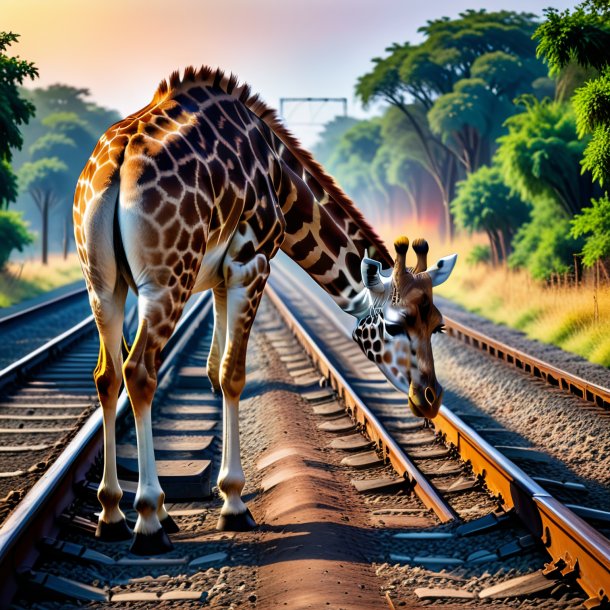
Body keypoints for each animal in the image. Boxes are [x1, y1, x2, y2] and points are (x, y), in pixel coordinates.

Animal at [73, 64, 454, 552]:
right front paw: (233, 505)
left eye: (438, 325)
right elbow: (233, 374)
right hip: (166, 281)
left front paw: (192, 505)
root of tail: (116, 165)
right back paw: (147, 522)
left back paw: (111, 512)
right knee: (140, 372)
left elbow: (212, 369)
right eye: (395, 324)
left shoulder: (220, 275)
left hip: (103, 284)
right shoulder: (251, 264)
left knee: (107, 375)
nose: (430, 398)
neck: (282, 183)